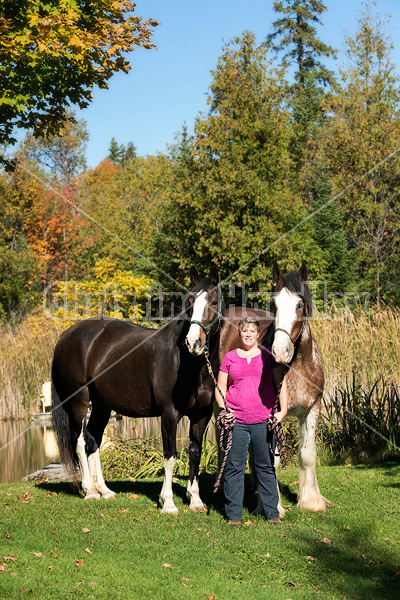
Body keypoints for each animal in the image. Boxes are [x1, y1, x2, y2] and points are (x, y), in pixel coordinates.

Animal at [50, 266, 222, 510]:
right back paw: (90, 491)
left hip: (102, 406)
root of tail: (66, 335)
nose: (193, 343)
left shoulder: (201, 415)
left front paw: (196, 500)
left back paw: (105, 490)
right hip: (79, 403)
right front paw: (168, 503)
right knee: (80, 442)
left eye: (214, 301)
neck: (190, 365)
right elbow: (170, 457)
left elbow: (195, 453)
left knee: (93, 441)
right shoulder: (169, 414)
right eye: (189, 302)